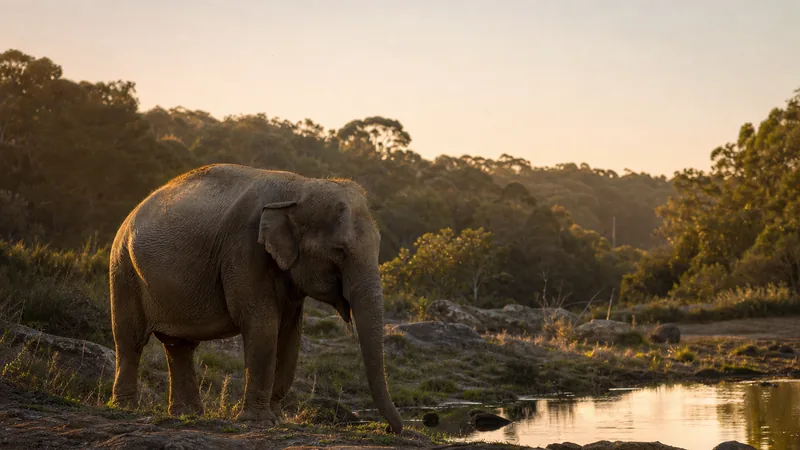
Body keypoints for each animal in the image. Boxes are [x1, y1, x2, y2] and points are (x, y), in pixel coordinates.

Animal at [108, 163, 403, 433]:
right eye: (339, 250)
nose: (391, 429)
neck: (300, 187)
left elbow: (289, 334)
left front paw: (277, 419)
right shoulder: (244, 250)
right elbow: (263, 326)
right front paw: (259, 422)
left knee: (179, 346)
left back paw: (187, 414)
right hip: (123, 269)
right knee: (130, 339)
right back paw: (125, 408)